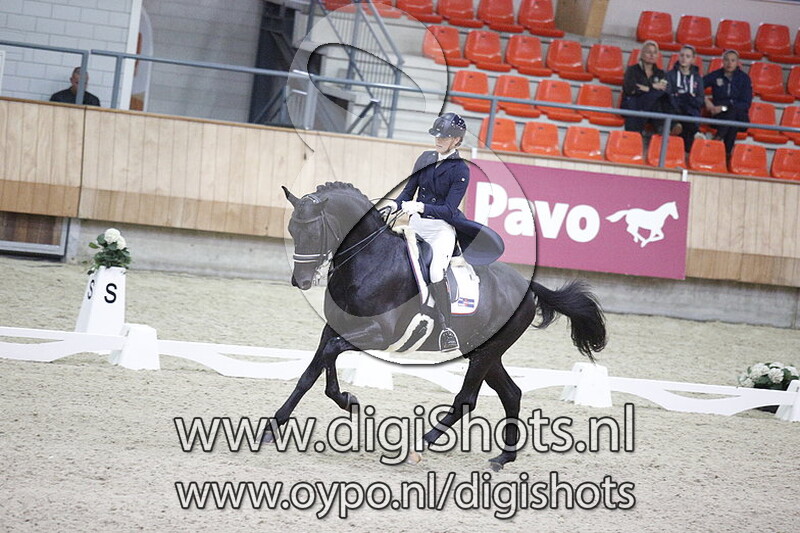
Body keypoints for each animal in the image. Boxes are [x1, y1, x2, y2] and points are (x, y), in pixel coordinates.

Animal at [268, 181, 606, 470]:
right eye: (292, 229)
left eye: (313, 232)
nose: (301, 281)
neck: (369, 260)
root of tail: (527, 285)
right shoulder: (334, 327)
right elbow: (311, 372)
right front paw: (275, 425)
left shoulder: (379, 334)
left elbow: (330, 354)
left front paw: (347, 400)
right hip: (485, 351)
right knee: (512, 393)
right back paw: (503, 458)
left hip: (486, 352)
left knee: (466, 400)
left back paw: (416, 446)